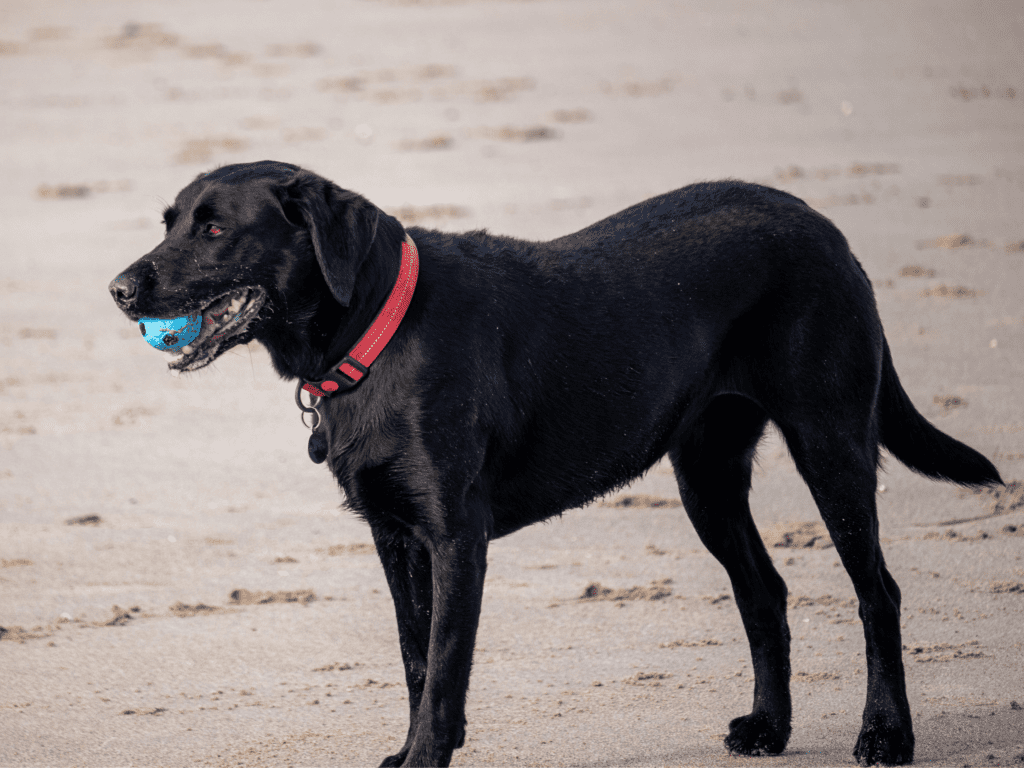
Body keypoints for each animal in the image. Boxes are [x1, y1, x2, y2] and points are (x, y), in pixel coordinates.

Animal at [110, 159, 999, 765]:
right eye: (170, 220)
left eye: (216, 229)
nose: (118, 288)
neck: (374, 330)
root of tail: (822, 222)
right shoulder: (395, 537)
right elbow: (413, 655)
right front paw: (409, 749)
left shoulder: (455, 537)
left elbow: (444, 667)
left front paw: (426, 755)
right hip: (706, 474)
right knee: (764, 590)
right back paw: (769, 729)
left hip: (829, 440)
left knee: (877, 593)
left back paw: (885, 735)